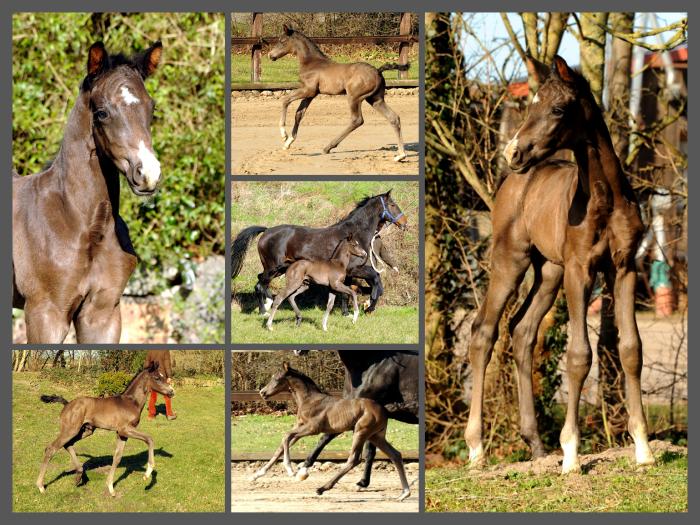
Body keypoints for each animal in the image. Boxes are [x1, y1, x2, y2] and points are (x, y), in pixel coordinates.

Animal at [37, 360, 176, 496]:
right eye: (157, 378)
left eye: (163, 377)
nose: (171, 392)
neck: (131, 402)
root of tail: (67, 404)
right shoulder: (125, 429)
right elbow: (149, 439)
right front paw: (147, 473)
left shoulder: (122, 434)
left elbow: (117, 457)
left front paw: (110, 487)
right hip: (71, 430)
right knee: (51, 448)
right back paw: (41, 486)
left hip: (86, 431)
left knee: (67, 444)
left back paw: (79, 476)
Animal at [254, 360, 412, 500]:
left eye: (276, 378)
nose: (262, 392)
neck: (309, 400)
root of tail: (385, 410)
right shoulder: (299, 427)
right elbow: (282, 445)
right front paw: (257, 474)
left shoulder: (312, 428)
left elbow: (286, 436)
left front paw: (290, 470)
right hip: (376, 436)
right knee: (395, 455)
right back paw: (404, 493)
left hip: (361, 431)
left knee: (354, 459)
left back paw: (321, 488)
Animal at [268, 25, 410, 160]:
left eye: (282, 41)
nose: (270, 55)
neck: (311, 62)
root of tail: (378, 71)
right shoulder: (311, 94)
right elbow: (299, 114)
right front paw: (288, 142)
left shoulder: (308, 90)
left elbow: (285, 100)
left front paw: (284, 134)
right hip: (375, 99)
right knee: (393, 117)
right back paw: (401, 155)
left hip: (354, 97)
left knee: (357, 120)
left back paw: (328, 147)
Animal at [464, 55, 656, 472]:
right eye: (531, 102)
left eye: (556, 109)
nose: (513, 153)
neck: (605, 200)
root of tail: (511, 183)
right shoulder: (580, 270)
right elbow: (579, 355)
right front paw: (571, 453)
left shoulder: (624, 268)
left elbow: (631, 349)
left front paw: (643, 447)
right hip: (510, 260)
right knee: (484, 330)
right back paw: (476, 448)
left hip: (549, 272)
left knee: (522, 330)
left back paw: (536, 445)